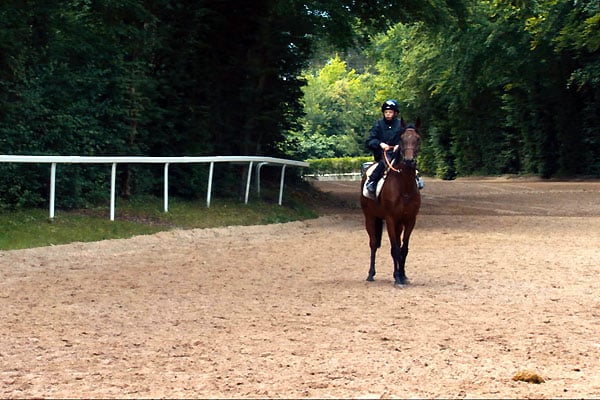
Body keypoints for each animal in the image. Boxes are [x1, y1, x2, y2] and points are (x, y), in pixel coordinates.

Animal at [360, 118, 422, 284]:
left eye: (417, 139)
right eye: (401, 138)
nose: (409, 161)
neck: (404, 186)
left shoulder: (409, 220)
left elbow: (403, 249)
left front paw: (402, 275)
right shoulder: (390, 219)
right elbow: (394, 248)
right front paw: (398, 279)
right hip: (370, 217)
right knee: (373, 243)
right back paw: (370, 274)